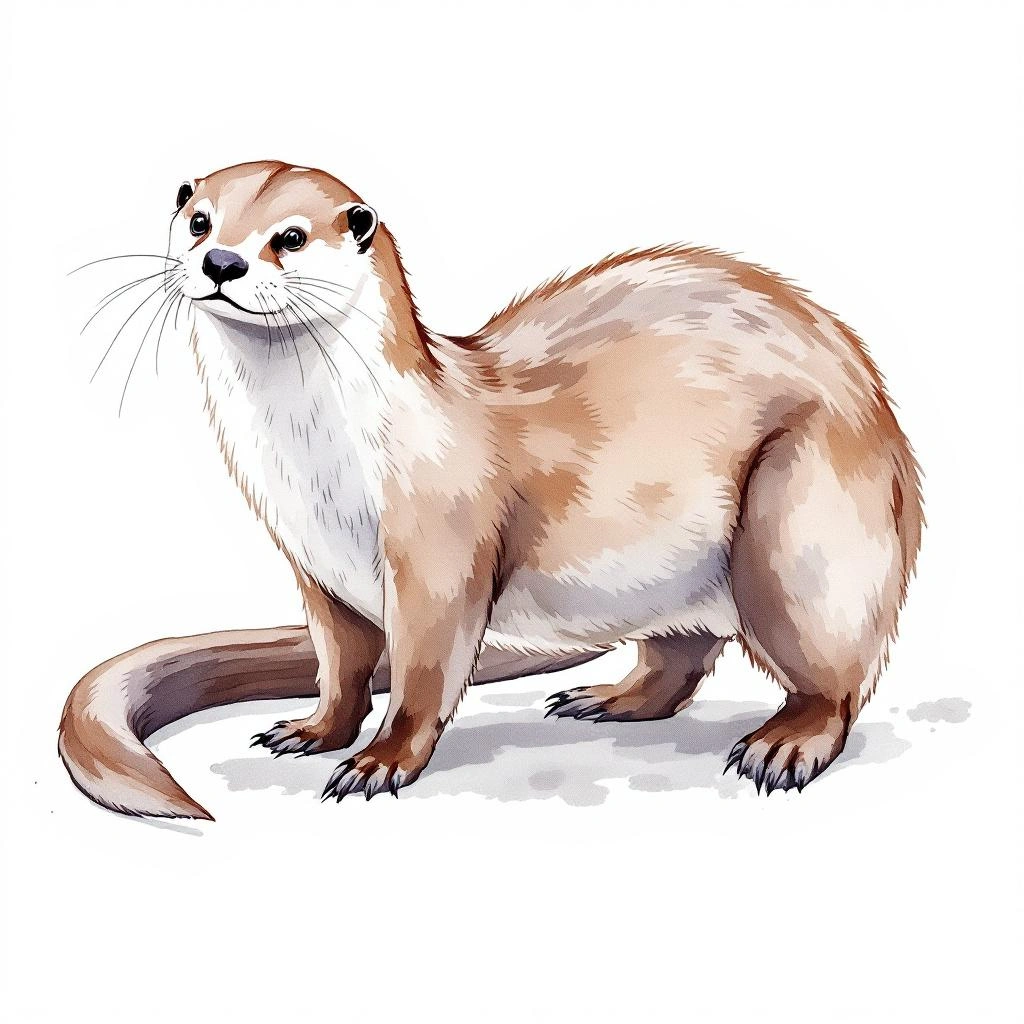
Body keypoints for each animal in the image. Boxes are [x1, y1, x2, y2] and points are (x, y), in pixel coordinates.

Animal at [59, 160, 922, 819]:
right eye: (201, 220)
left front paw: (381, 761)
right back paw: (605, 699)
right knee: (680, 654)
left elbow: (423, 673)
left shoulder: (437, 548)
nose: (223, 263)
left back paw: (785, 743)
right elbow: (341, 663)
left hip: (796, 520)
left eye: (290, 237)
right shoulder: (315, 565)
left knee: (834, 676)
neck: (328, 466)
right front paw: (313, 730)